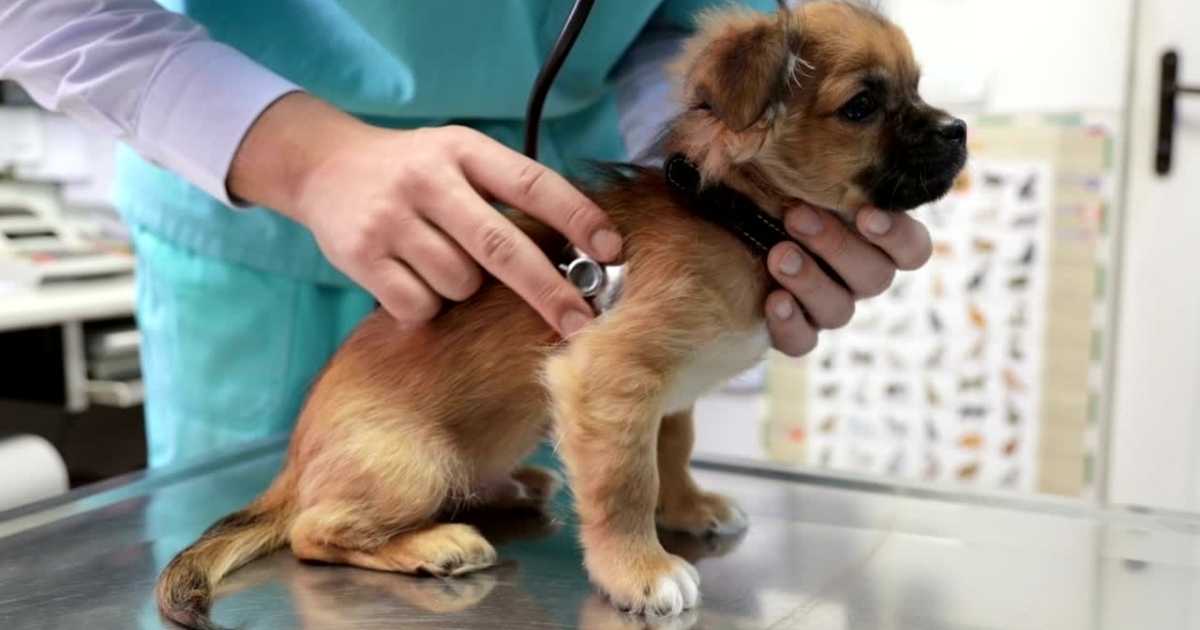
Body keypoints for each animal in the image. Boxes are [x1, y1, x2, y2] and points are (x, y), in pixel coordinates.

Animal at [157, 3, 964, 624]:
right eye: (862, 107)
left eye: (919, 89)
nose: (957, 130)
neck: (738, 220)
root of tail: (293, 466)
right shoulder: (607, 374)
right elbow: (624, 484)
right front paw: (639, 570)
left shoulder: (663, 395)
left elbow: (670, 451)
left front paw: (688, 506)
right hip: (414, 462)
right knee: (313, 531)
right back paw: (433, 544)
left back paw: (512, 487)